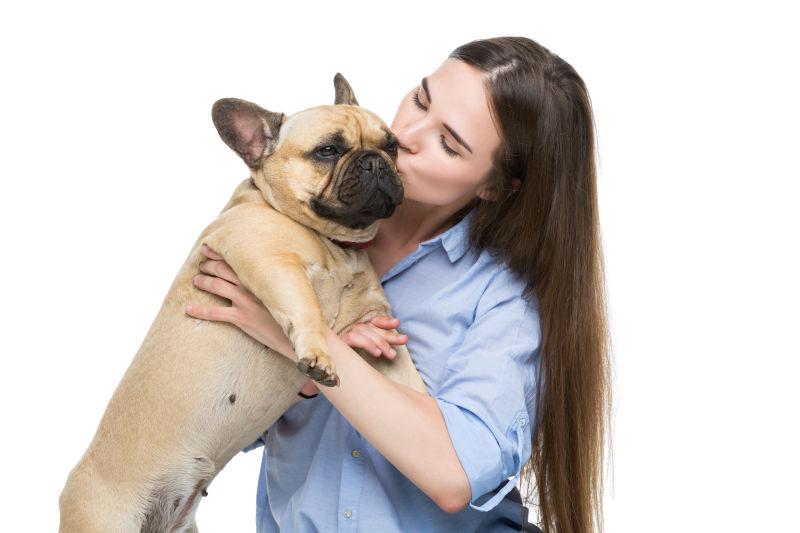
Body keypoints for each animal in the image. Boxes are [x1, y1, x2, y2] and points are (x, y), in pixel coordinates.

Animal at [59, 72, 428, 528]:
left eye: (392, 145)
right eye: (327, 151)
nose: (376, 160)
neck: (336, 243)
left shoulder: (379, 328)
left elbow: (408, 380)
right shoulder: (270, 261)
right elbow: (306, 305)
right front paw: (319, 354)